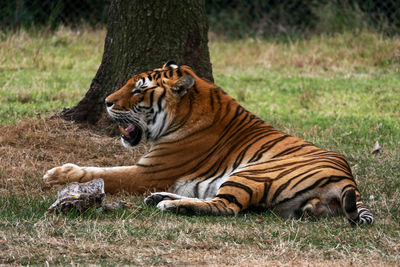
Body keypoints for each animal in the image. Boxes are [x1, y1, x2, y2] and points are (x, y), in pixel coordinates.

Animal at [44, 61, 376, 226]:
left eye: (138, 90)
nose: (107, 102)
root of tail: (349, 178)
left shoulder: (147, 171)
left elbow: (105, 172)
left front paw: (56, 174)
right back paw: (161, 198)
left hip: (251, 172)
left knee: (227, 207)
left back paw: (170, 204)